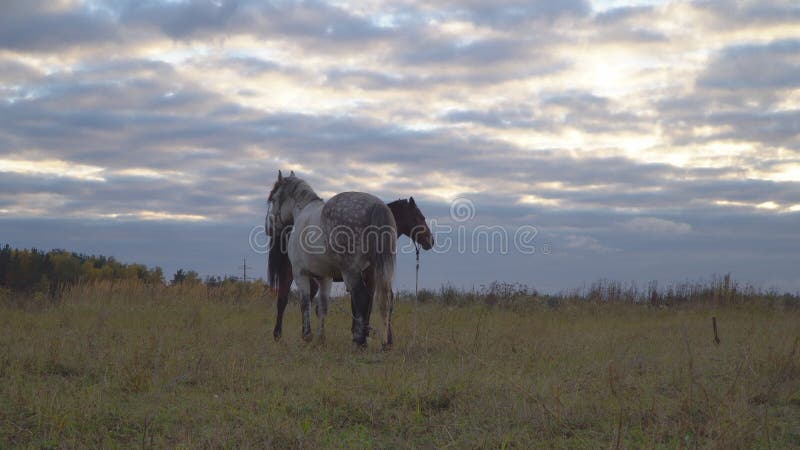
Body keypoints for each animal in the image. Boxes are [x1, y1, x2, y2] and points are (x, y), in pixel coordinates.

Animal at [268, 197, 432, 342]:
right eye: (420, 217)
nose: (431, 240)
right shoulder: (369, 277)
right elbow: (368, 304)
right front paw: (363, 334)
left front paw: (360, 333)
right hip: (291, 273)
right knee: (283, 300)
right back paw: (278, 335)